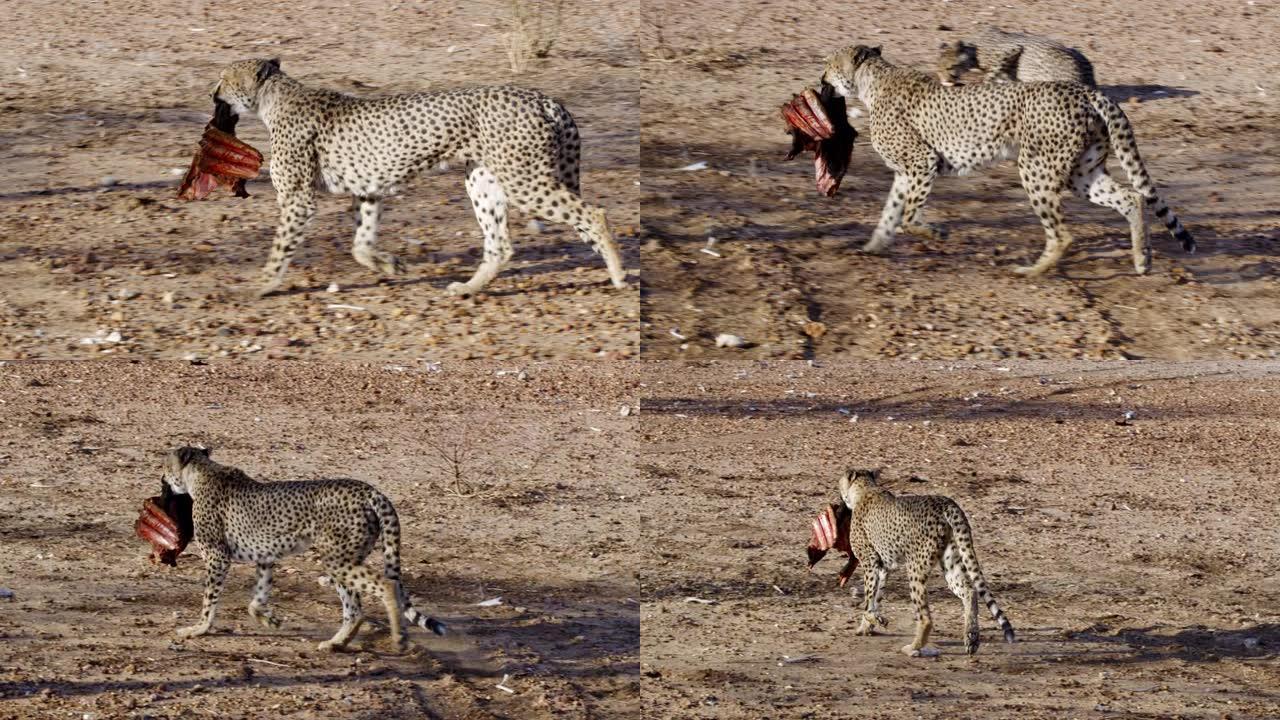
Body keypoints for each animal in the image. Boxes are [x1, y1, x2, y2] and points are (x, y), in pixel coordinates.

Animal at [160, 443, 445, 650]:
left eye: (165, 465)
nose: (162, 479)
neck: (201, 472)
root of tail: (369, 489)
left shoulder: (217, 556)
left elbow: (209, 600)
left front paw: (199, 629)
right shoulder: (265, 557)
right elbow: (257, 597)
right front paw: (269, 619)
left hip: (338, 559)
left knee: (386, 585)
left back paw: (399, 638)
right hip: (346, 559)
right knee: (355, 608)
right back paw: (336, 643)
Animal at [212, 57, 627, 298]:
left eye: (224, 78)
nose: (212, 92)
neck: (273, 99)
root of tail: (545, 98)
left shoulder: (298, 198)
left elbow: (280, 248)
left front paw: (261, 285)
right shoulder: (368, 191)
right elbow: (360, 245)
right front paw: (391, 266)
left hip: (523, 181)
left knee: (593, 213)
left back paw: (620, 275)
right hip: (482, 181)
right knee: (500, 244)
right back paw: (467, 289)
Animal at [824, 45, 1192, 274]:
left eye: (829, 65)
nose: (822, 78)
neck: (872, 82)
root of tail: (1086, 90)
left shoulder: (921, 163)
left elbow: (909, 215)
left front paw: (936, 233)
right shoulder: (905, 173)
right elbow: (890, 213)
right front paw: (873, 246)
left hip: (1036, 169)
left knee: (1062, 234)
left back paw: (1032, 271)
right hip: (1081, 174)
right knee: (1132, 197)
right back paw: (1142, 259)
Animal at [839, 468, 1018, 653]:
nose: (840, 497)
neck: (866, 489)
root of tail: (947, 503)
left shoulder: (870, 562)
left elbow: (869, 599)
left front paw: (874, 620)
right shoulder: (883, 568)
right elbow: (876, 597)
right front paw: (866, 626)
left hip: (915, 567)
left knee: (925, 616)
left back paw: (914, 646)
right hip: (951, 562)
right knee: (969, 591)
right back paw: (971, 638)